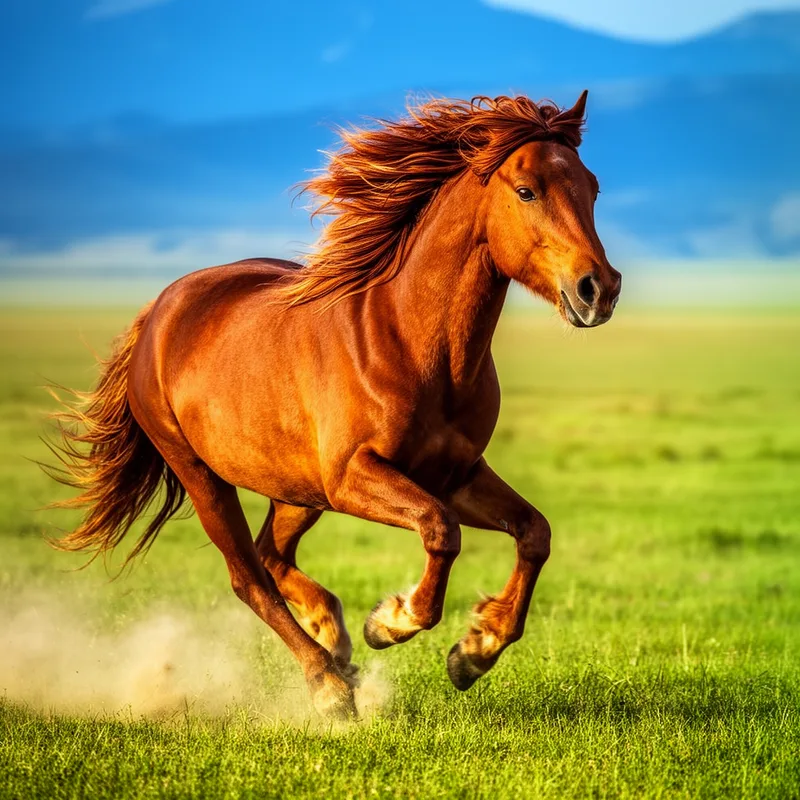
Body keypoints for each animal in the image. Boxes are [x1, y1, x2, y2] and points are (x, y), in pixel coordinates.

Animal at [47, 91, 621, 718]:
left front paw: (475, 650)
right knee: (249, 578)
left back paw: (334, 638)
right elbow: (440, 531)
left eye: (593, 187)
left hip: (295, 488)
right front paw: (392, 622)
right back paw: (328, 685)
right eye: (526, 191)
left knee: (271, 557)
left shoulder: (456, 474)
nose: (599, 288)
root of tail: (158, 311)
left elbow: (534, 533)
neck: (410, 342)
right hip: (204, 475)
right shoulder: (354, 477)